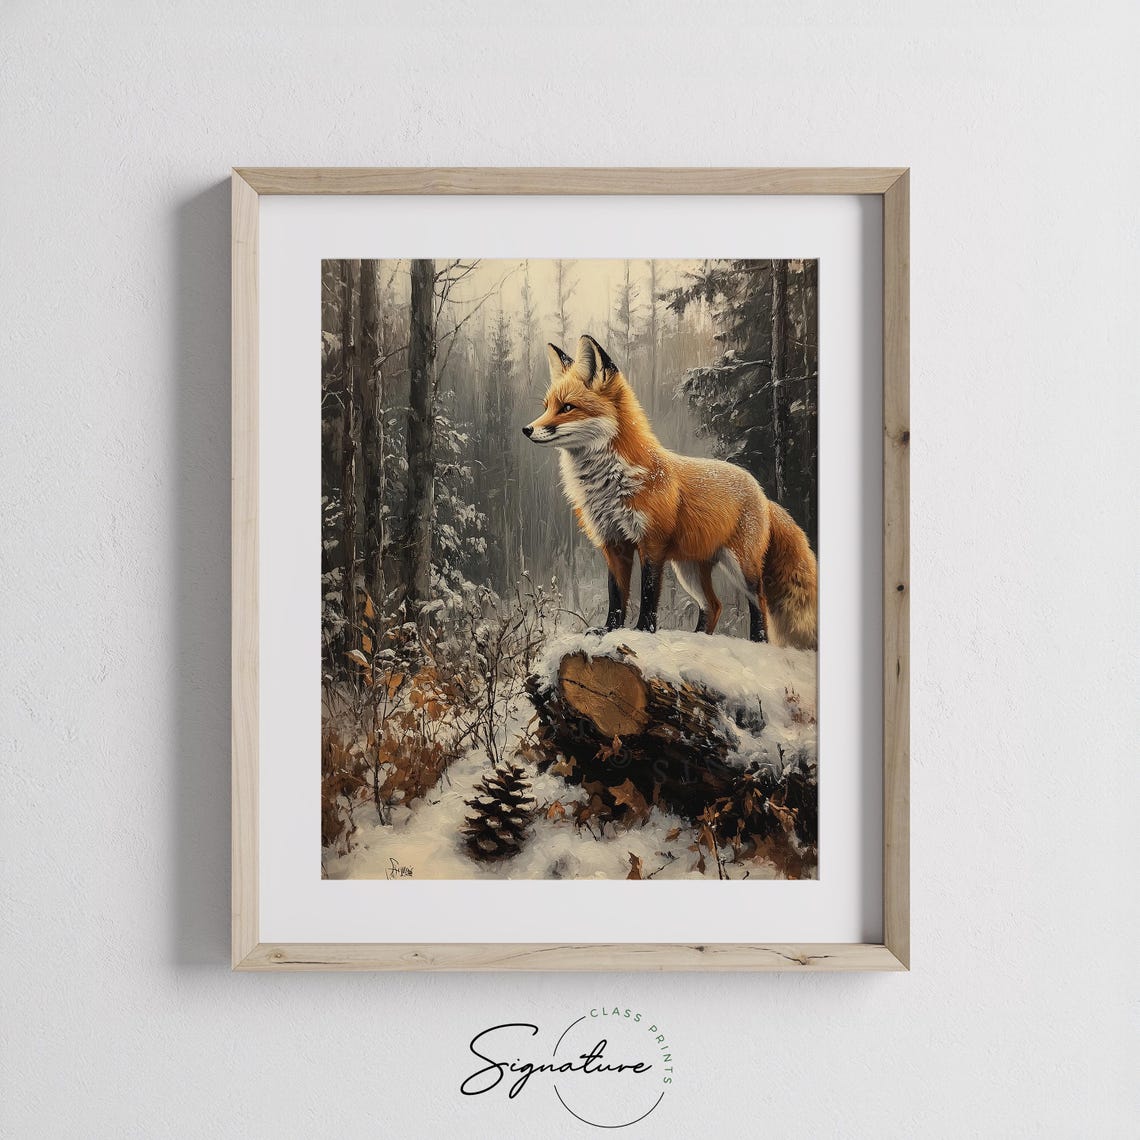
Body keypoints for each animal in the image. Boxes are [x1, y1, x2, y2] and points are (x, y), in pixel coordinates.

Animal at [522, 334, 817, 649]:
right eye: (546, 407)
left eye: (567, 408)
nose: (527, 429)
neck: (610, 485)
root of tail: (761, 491)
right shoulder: (613, 543)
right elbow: (617, 596)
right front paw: (609, 630)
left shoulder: (652, 543)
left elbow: (648, 594)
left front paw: (643, 630)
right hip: (689, 570)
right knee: (714, 605)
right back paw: (698, 639)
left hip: (740, 565)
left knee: (758, 600)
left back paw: (757, 642)